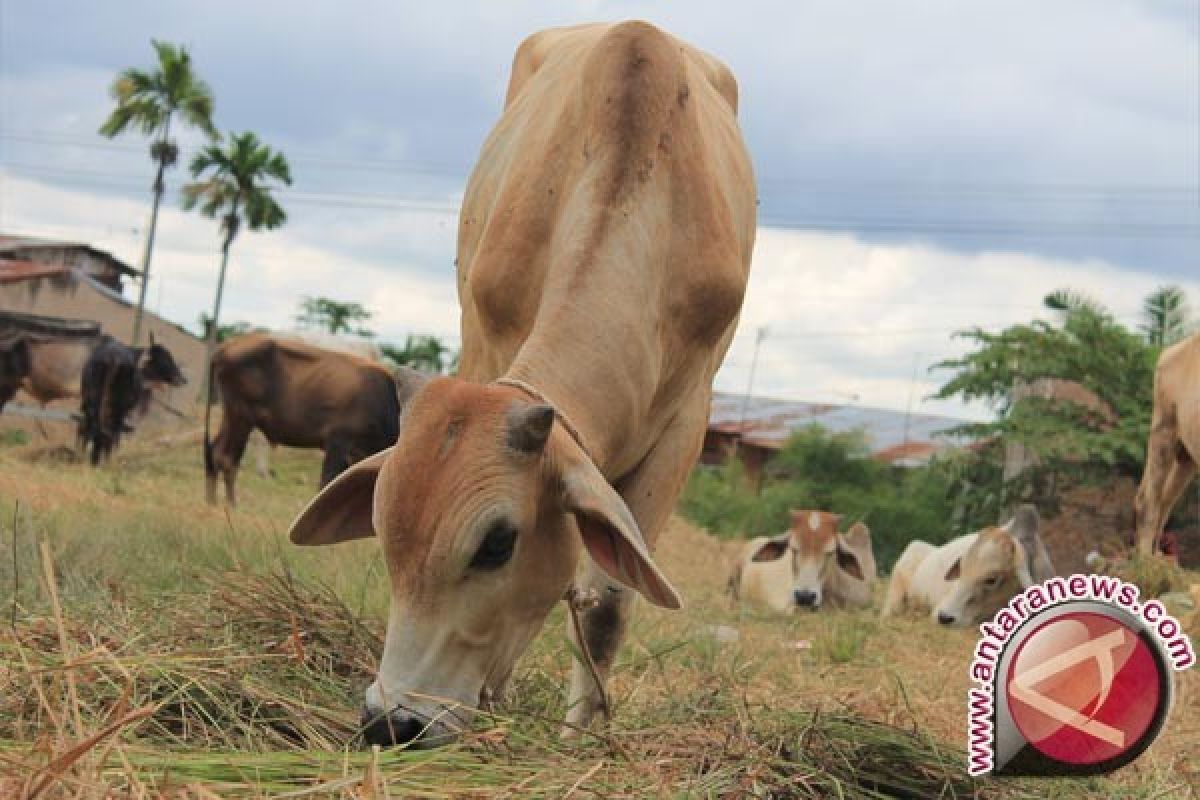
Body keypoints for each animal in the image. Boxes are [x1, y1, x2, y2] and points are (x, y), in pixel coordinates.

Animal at [78, 335, 184, 465]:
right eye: (165, 358)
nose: (182, 379)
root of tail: (113, 357)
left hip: (92, 402)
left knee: (93, 428)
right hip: (117, 408)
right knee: (108, 432)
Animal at [201, 328, 398, 503]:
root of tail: (226, 346)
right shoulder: (338, 442)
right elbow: (326, 483)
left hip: (233, 417)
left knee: (215, 452)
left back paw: (213, 502)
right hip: (241, 416)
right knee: (226, 457)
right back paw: (230, 504)